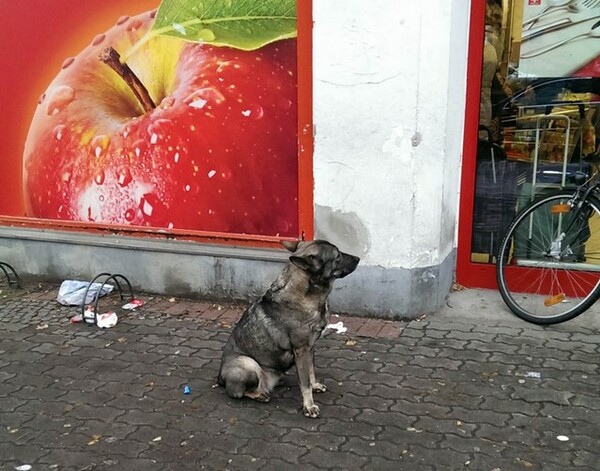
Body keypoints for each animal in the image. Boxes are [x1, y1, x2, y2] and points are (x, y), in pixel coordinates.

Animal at [218, 242, 358, 418]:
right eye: (337, 256)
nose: (358, 258)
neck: (304, 295)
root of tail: (220, 378)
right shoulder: (301, 351)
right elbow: (304, 383)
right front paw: (309, 406)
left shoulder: (310, 348)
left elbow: (311, 372)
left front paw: (315, 386)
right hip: (249, 364)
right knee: (238, 392)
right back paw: (260, 394)